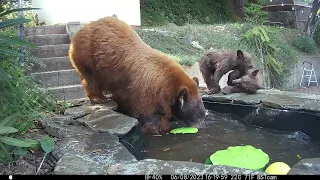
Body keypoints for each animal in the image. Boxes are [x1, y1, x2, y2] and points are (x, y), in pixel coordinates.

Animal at [69, 16, 206, 134]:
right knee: (90, 77)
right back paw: (98, 98)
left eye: (203, 110)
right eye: (197, 112)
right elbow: (146, 113)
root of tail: (83, 28)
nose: (202, 125)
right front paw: (157, 127)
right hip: (87, 54)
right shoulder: (142, 90)